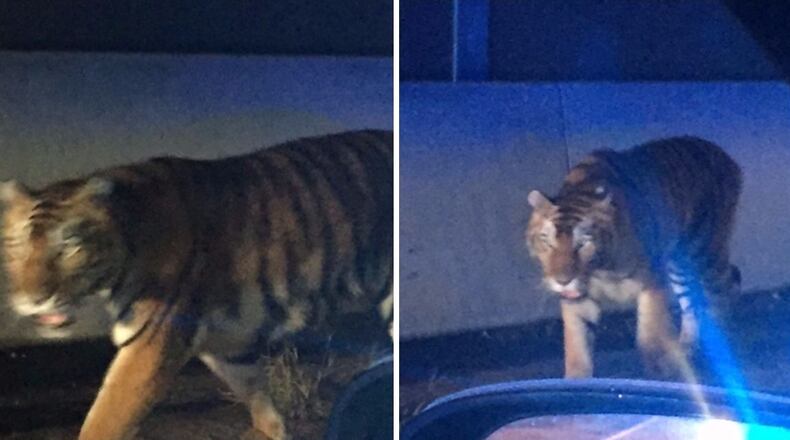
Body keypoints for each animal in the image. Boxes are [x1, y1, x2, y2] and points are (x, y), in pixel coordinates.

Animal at [0, 129, 393, 440]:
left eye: (69, 246)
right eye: (17, 246)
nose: (34, 299)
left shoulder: (150, 343)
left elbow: (104, 419)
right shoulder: (228, 340)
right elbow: (253, 389)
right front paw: (273, 431)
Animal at [525, 136, 741, 379]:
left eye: (582, 243)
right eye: (546, 241)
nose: (562, 281)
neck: (602, 269)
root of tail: (723, 154)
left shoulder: (652, 282)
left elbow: (650, 336)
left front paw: (659, 371)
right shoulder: (578, 300)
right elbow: (577, 346)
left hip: (706, 253)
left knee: (727, 286)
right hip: (679, 266)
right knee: (690, 303)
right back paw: (687, 347)